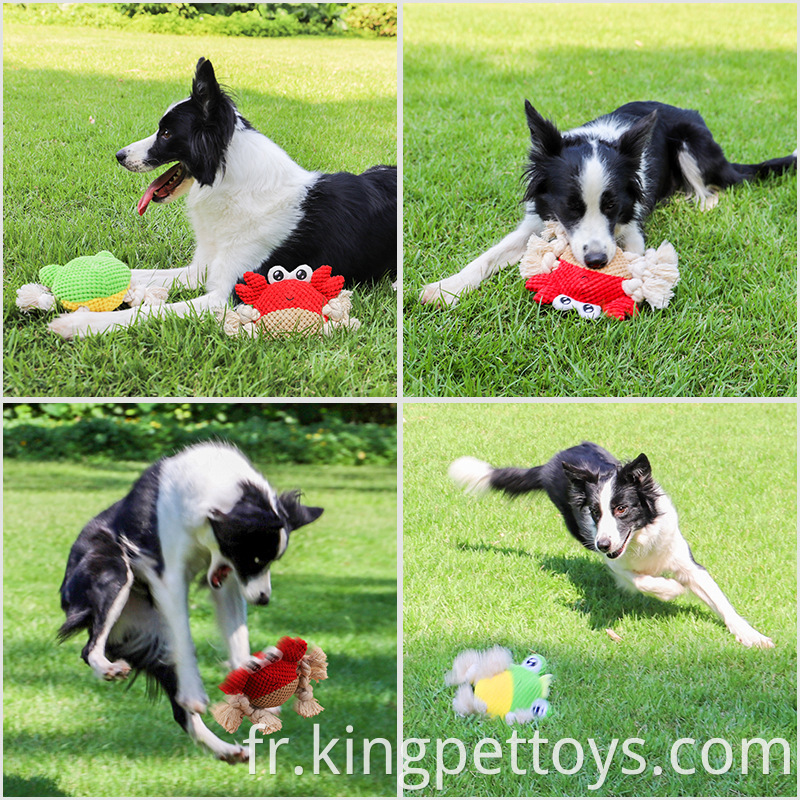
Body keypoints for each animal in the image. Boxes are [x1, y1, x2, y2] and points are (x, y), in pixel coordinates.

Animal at [50, 56, 396, 338]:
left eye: (166, 133)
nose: (119, 156)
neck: (232, 187)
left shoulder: (229, 296)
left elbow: (149, 312)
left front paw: (79, 324)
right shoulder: (203, 268)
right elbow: (137, 274)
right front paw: (60, 279)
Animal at [57, 444, 324, 764]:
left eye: (272, 561)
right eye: (256, 558)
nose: (264, 599)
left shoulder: (226, 581)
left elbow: (237, 633)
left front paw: (249, 672)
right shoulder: (169, 576)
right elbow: (186, 639)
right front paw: (197, 694)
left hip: (150, 638)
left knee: (181, 715)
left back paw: (227, 750)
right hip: (115, 571)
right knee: (90, 648)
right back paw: (108, 668)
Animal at [422, 97, 796, 304]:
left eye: (611, 206)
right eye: (570, 207)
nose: (597, 261)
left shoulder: (631, 229)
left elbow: (634, 262)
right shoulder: (537, 220)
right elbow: (486, 258)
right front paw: (446, 288)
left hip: (690, 141)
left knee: (710, 188)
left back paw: (701, 203)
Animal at [446, 444, 772, 648]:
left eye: (622, 509)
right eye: (595, 511)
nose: (603, 544)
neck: (640, 539)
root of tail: (551, 463)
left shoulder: (686, 561)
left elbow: (721, 601)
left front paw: (752, 636)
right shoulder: (614, 561)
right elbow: (642, 580)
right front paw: (671, 590)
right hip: (578, 531)